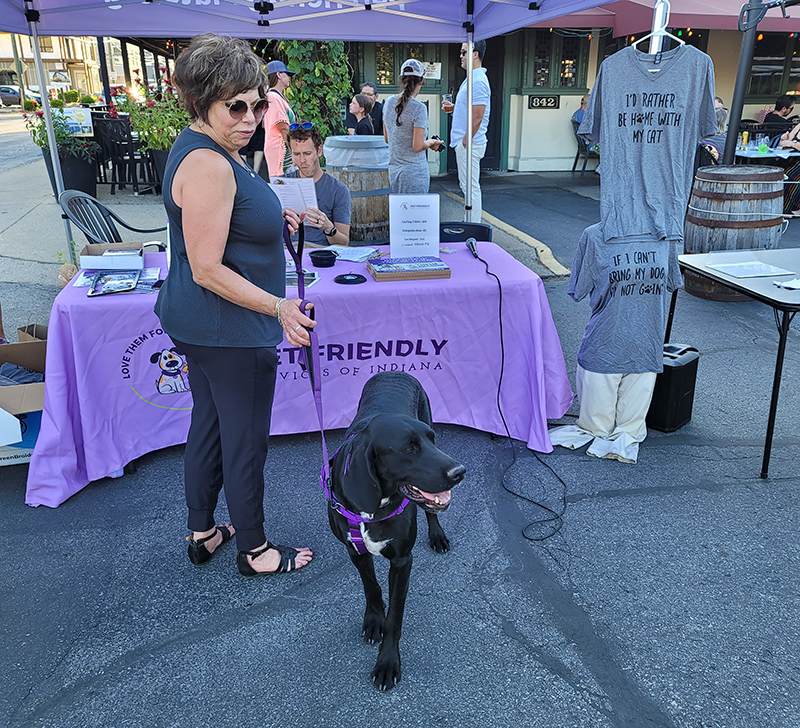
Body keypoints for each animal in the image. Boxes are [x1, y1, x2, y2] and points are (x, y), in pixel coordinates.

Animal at [328, 372, 466, 692]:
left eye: (431, 440)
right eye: (408, 448)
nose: (459, 472)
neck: (375, 505)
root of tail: (395, 372)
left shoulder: (403, 561)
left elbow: (396, 616)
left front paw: (387, 663)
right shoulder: (355, 551)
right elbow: (371, 588)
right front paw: (373, 620)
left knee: (431, 512)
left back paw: (437, 536)